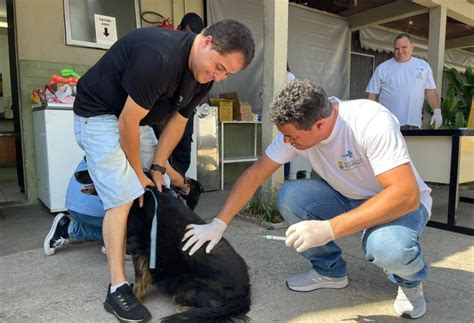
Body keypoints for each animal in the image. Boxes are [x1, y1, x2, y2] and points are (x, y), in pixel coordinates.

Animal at [126, 186, 252, 322]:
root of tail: (245, 290)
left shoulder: (137, 246)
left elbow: (139, 280)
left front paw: (135, 297)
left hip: (183, 285)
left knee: (215, 306)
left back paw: (186, 309)